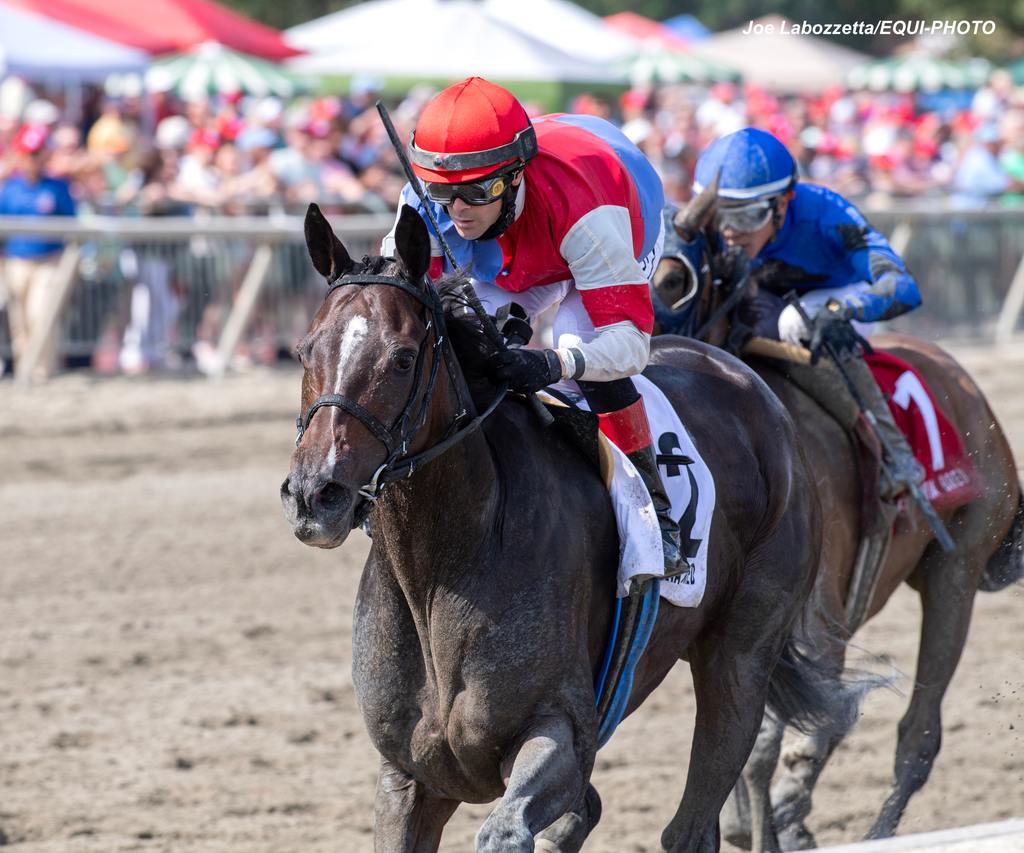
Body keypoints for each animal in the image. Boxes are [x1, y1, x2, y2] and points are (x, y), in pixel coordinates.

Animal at [282, 202, 856, 847]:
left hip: (740, 655)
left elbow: (507, 829)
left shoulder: (559, 733)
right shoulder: (408, 778)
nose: (315, 494)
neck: (440, 567)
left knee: (691, 817)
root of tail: (745, 377)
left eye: (402, 358)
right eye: (304, 350)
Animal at [651, 189, 1019, 847]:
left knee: (918, 733)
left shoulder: (803, 612)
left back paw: (872, 826)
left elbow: (762, 746)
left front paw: (769, 827)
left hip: (955, 572)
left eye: (673, 279)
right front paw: (762, 824)